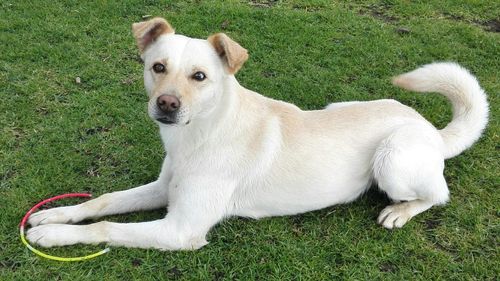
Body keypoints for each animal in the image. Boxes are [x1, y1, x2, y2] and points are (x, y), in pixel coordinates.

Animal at [26, 18, 488, 249]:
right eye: (158, 67)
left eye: (199, 76)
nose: (167, 105)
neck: (201, 134)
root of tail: (428, 127)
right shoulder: (162, 190)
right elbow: (103, 202)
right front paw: (55, 214)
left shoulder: (180, 230)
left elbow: (105, 228)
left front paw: (53, 235)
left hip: (393, 160)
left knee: (437, 194)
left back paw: (399, 212)